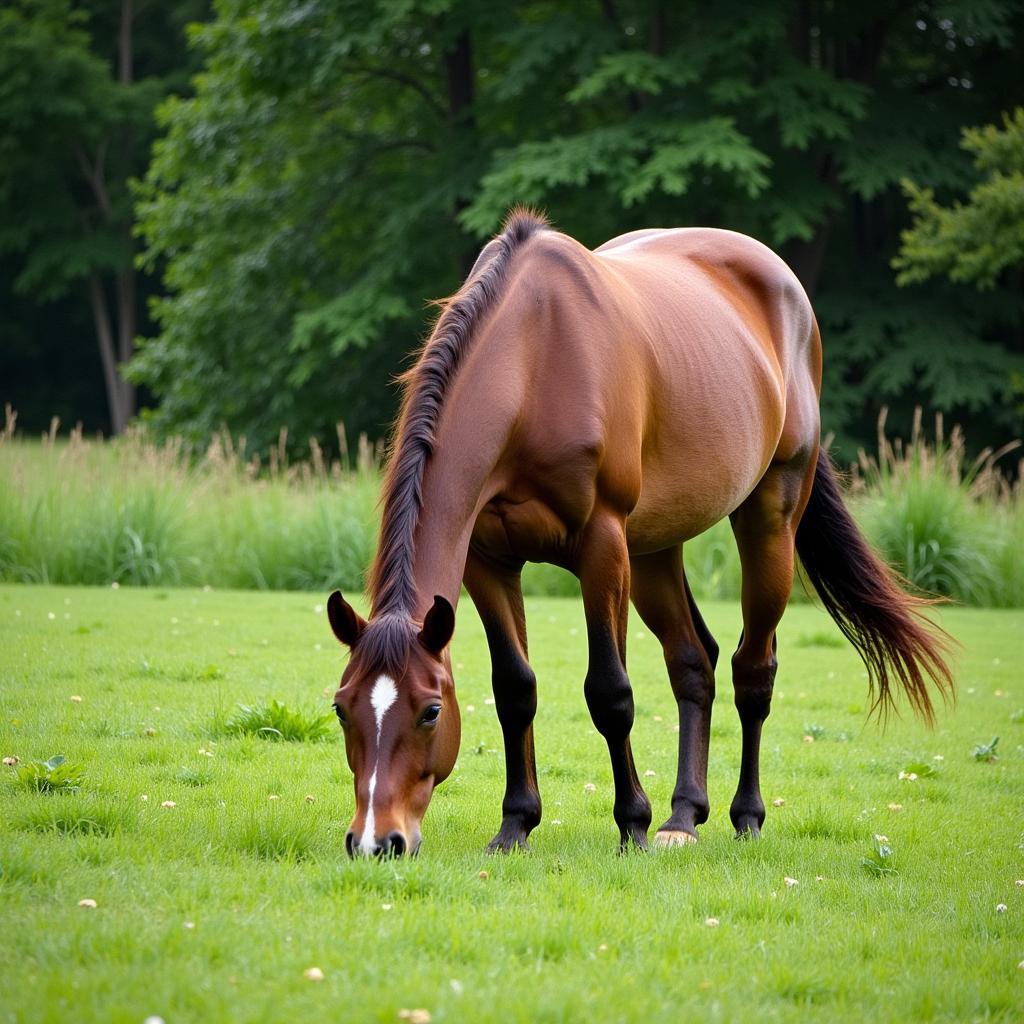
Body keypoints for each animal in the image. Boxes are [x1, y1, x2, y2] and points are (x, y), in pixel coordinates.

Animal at [325, 207, 950, 856]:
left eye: (429, 711)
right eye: (342, 708)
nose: (375, 842)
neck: (535, 360)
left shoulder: (603, 548)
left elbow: (610, 692)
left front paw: (632, 823)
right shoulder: (488, 562)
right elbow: (514, 689)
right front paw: (516, 824)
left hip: (767, 520)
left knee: (753, 669)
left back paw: (744, 816)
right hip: (653, 551)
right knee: (694, 662)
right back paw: (684, 815)